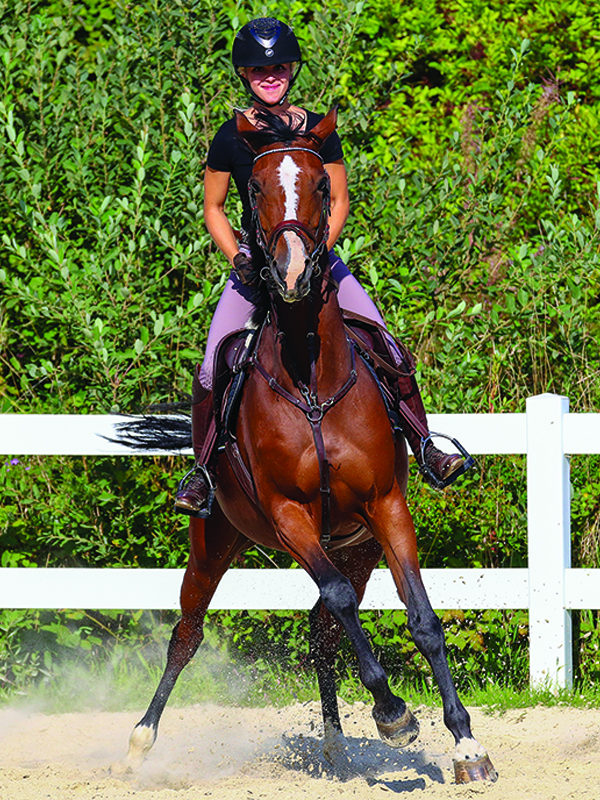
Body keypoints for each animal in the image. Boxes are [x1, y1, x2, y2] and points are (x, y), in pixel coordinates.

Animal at [113, 108, 497, 784]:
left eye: (321, 184)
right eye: (255, 186)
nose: (292, 276)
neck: (310, 377)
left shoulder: (386, 506)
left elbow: (422, 617)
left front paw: (466, 745)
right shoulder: (288, 515)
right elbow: (341, 599)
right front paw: (395, 713)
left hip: (355, 543)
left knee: (324, 629)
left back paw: (337, 745)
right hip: (216, 541)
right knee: (190, 632)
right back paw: (141, 740)